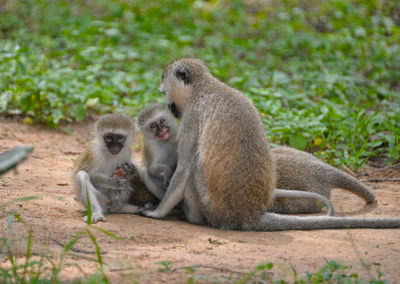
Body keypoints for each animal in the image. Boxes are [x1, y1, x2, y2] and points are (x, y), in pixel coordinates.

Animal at [141, 58, 400, 231]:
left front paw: (157, 212)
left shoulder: (191, 117)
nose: (171, 107)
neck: (205, 87)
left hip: (212, 207)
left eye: (164, 93)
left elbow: (184, 168)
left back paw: (192, 217)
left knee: (195, 166)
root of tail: (249, 215)